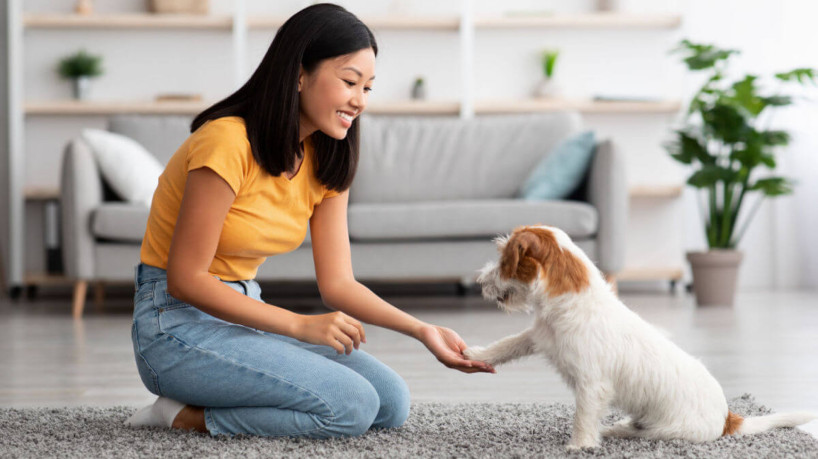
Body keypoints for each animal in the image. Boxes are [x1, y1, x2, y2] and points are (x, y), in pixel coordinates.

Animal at [462, 225, 812, 452]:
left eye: (504, 259)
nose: (478, 281)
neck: (574, 299)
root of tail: (729, 417)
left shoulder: (592, 384)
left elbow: (583, 416)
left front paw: (579, 446)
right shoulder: (538, 336)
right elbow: (507, 345)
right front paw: (475, 355)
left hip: (667, 430)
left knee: (641, 434)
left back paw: (613, 430)